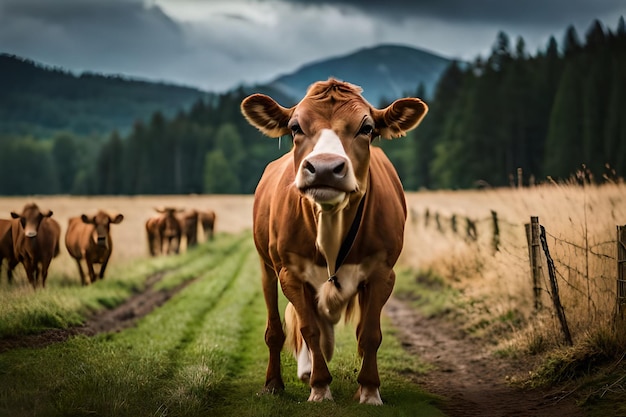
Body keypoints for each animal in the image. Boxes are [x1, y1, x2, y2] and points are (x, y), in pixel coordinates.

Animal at [241, 78, 426, 404]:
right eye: (295, 127)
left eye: (367, 128)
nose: (325, 167)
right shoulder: (290, 273)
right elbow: (310, 329)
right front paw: (319, 386)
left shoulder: (382, 272)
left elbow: (369, 333)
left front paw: (369, 390)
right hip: (266, 266)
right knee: (276, 330)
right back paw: (276, 382)